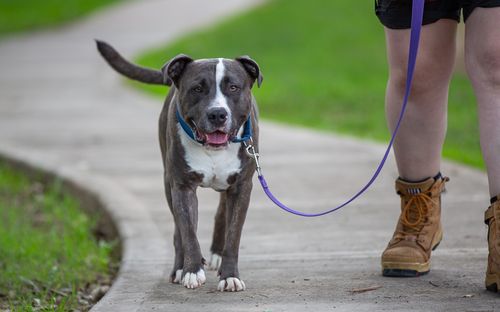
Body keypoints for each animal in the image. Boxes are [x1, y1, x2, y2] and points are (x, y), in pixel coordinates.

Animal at [95, 40, 264, 292]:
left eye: (233, 87)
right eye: (197, 88)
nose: (217, 114)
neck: (212, 150)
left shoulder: (241, 187)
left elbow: (234, 235)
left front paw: (230, 275)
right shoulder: (182, 187)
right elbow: (187, 232)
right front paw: (192, 270)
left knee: (221, 213)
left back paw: (216, 254)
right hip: (168, 184)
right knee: (178, 231)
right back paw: (179, 268)